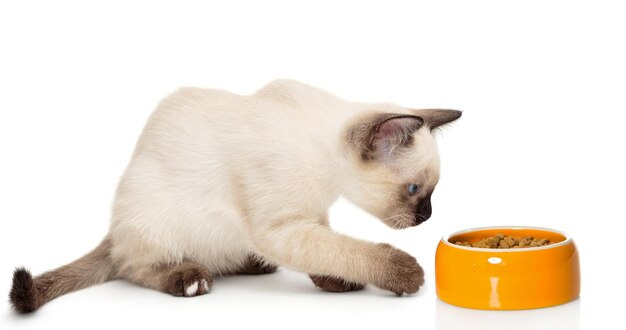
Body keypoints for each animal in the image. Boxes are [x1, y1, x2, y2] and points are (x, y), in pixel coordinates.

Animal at [8, 79, 458, 312]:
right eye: (415, 190)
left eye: (431, 193)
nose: (427, 217)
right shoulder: (280, 227)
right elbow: (346, 250)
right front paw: (405, 274)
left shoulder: (309, 217)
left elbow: (330, 250)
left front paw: (334, 281)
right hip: (156, 222)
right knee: (133, 267)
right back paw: (189, 280)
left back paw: (251, 264)